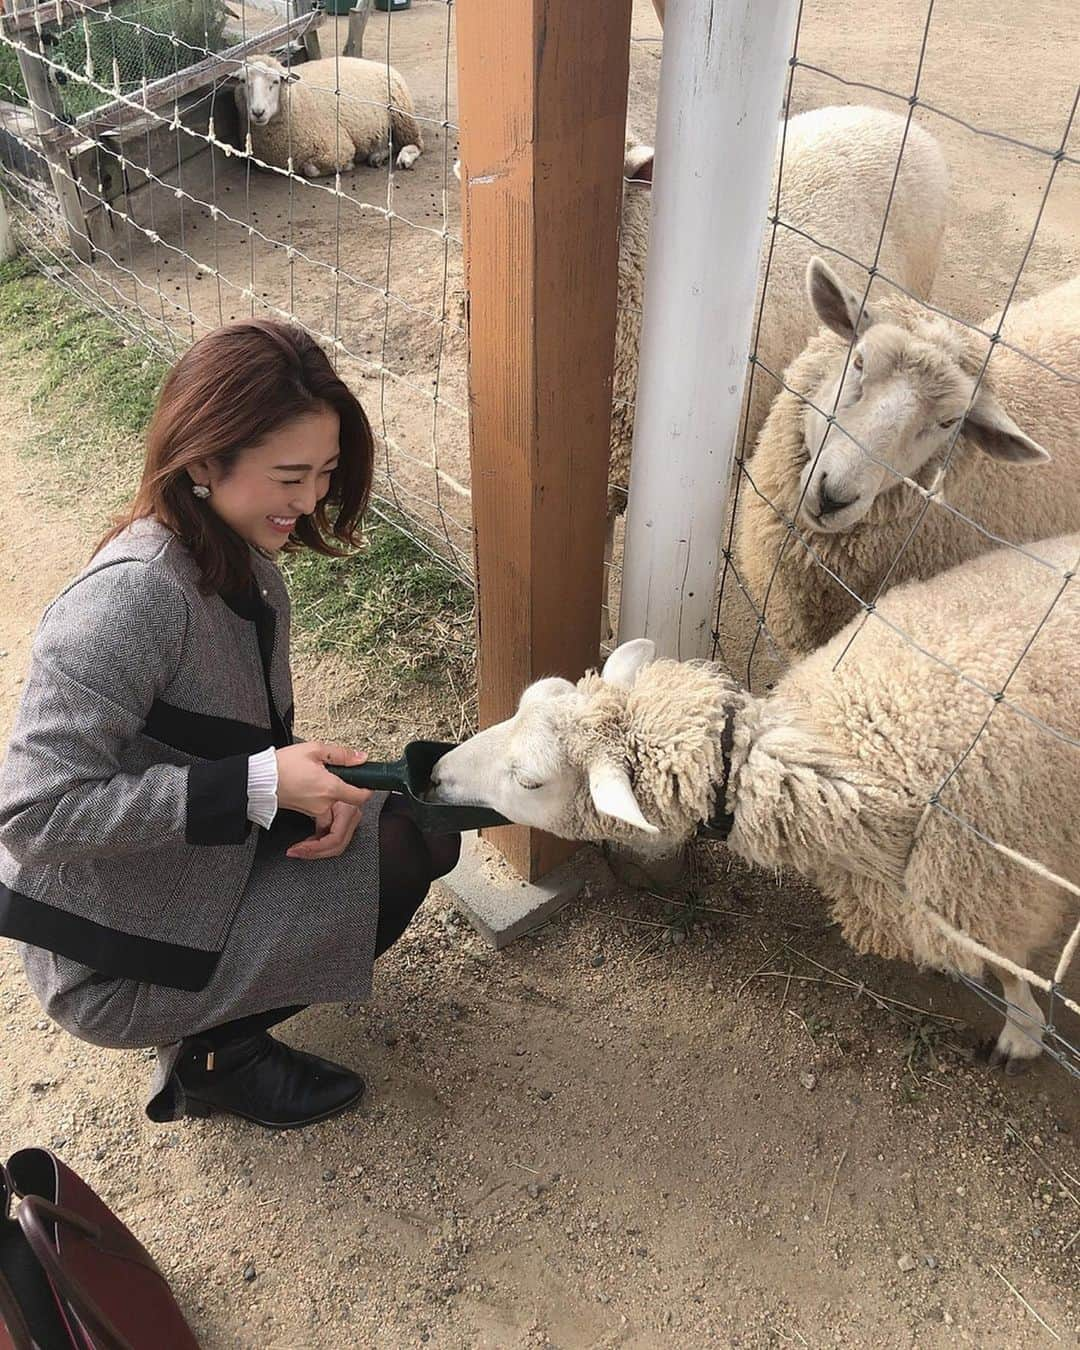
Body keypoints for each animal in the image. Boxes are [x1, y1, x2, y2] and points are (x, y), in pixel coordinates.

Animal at [232, 54, 421, 179]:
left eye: (276, 81)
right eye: (242, 81)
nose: (258, 112)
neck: (297, 98)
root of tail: (377, 63)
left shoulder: (338, 148)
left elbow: (310, 170)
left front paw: (347, 165)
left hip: (402, 115)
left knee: (415, 144)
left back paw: (404, 157)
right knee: (391, 143)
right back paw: (377, 156)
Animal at [429, 531, 1080, 1069]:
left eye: (531, 781)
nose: (433, 774)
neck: (858, 749)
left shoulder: (991, 875)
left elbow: (1004, 956)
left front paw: (1024, 1029)